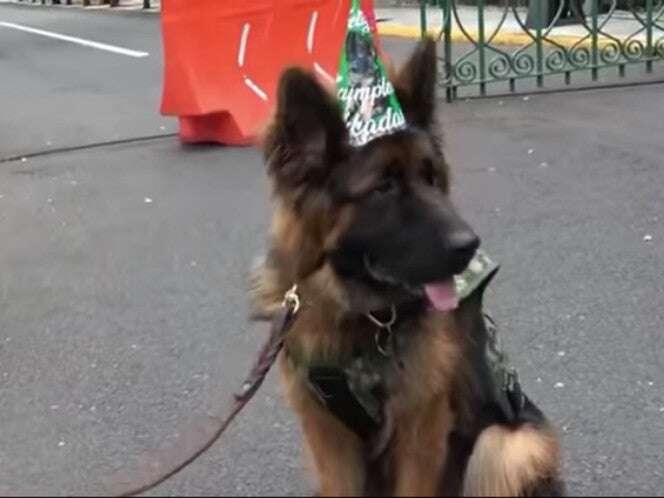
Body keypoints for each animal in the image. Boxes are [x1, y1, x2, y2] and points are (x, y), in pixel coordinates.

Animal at [252, 38, 564, 494]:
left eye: (431, 178)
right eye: (383, 187)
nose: (469, 245)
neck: (360, 319)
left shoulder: (421, 436)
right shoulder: (328, 439)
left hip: (507, 444)